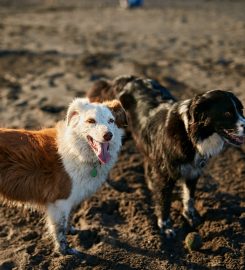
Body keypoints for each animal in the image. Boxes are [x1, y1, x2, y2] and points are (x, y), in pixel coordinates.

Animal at [0, 98, 126, 254]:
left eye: (111, 121)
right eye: (91, 121)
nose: (108, 135)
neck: (76, 149)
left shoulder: (71, 198)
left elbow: (69, 218)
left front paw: (71, 231)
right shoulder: (60, 201)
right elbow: (59, 229)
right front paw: (66, 251)